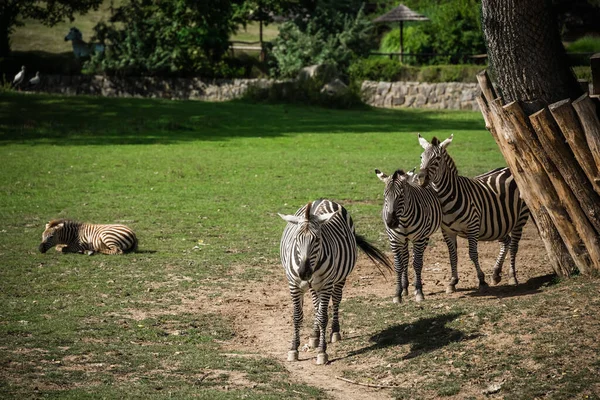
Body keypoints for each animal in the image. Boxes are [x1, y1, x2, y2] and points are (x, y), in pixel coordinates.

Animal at [278, 198, 392, 364]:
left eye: (317, 240)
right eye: (296, 239)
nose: (304, 272)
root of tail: (323, 199)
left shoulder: (326, 285)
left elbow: (323, 317)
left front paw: (322, 352)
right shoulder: (294, 285)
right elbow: (297, 317)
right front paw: (293, 349)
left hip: (338, 278)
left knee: (336, 300)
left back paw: (334, 332)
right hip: (314, 285)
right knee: (316, 305)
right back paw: (314, 335)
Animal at [372, 169, 442, 304]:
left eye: (401, 196)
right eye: (384, 196)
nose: (391, 223)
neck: (403, 220)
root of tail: (412, 177)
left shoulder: (419, 239)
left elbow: (417, 264)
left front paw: (419, 291)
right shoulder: (394, 240)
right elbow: (399, 265)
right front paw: (397, 293)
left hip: (425, 237)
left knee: (415, 258)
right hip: (403, 240)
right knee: (405, 258)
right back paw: (405, 288)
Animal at [418, 133, 528, 292]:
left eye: (437, 159)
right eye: (421, 157)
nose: (420, 178)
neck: (446, 199)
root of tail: (507, 168)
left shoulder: (473, 227)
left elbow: (473, 253)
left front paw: (481, 280)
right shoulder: (447, 231)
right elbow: (452, 255)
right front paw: (452, 282)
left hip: (520, 218)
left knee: (514, 246)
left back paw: (512, 277)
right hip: (498, 223)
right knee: (506, 242)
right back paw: (496, 274)